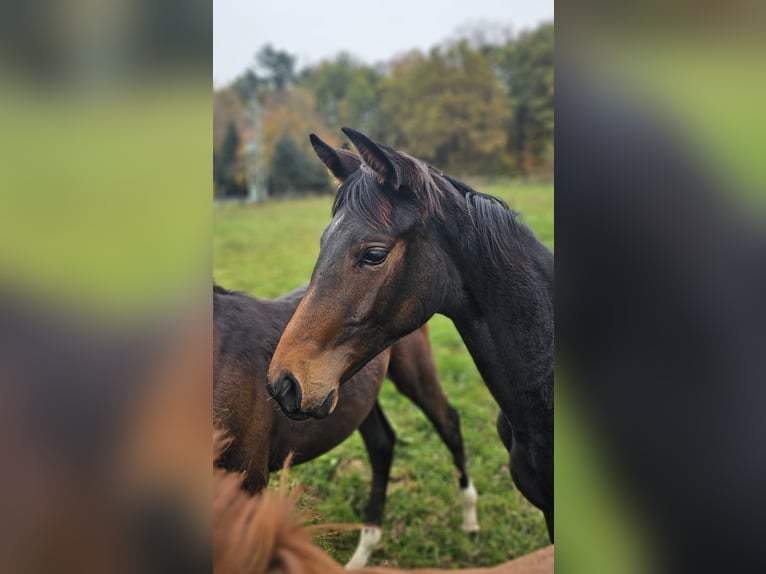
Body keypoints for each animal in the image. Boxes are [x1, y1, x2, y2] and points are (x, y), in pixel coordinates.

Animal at [214, 282, 480, 568]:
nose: (285, 389)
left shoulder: (249, 479)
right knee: (382, 444)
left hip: (414, 372)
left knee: (448, 423)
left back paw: (470, 518)